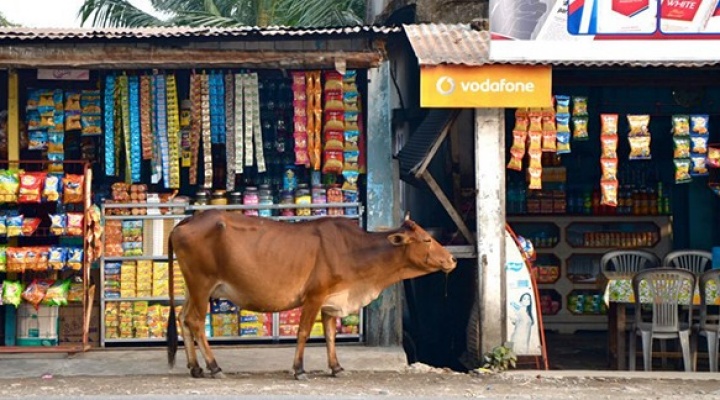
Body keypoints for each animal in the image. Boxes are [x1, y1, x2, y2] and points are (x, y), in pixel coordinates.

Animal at [167, 211, 458, 380]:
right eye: (427, 240)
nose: (452, 259)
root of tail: (186, 220)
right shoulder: (314, 296)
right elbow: (304, 332)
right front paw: (299, 370)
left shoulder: (331, 301)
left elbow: (330, 335)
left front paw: (336, 367)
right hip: (202, 283)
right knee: (195, 321)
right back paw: (214, 367)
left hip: (194, 287)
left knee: (183, 318)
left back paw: (195, 367)